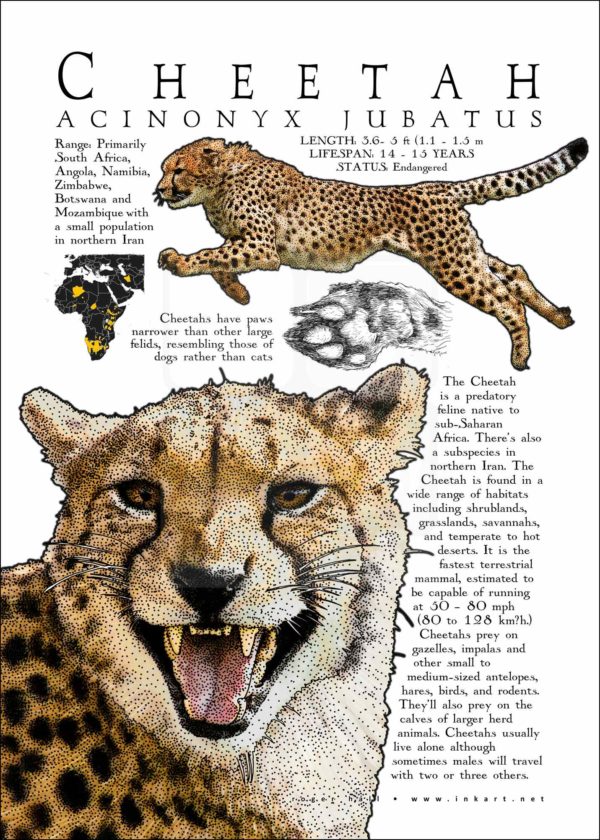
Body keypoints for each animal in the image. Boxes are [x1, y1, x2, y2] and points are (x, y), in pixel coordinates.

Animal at [155, 136, 588, 370]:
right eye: (165, 169)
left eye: (177, 170)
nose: (159, 190)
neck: (219, 180)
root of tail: (439, 184)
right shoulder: (247, 243)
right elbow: (220, 260)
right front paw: (238, 293)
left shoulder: (260, 245)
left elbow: (211, 255)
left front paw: (178, 261)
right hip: (464, 251)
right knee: (513, 272)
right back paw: (561, 318)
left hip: (451, 262)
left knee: (504, 298)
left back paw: (521, 355)